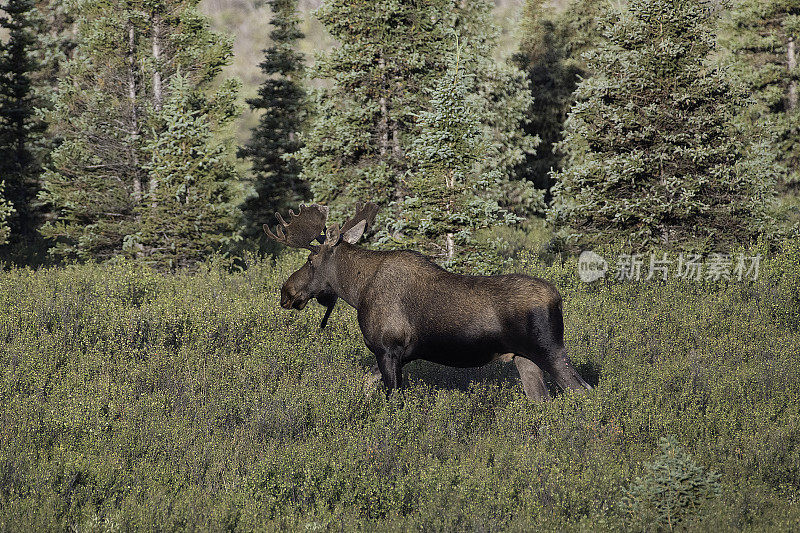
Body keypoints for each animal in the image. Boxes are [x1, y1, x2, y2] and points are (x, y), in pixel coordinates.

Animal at [266, 202, 592, 396]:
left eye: (310, 259)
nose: (286, 293)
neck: (357, 292)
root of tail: (558, 298)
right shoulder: (394, 355)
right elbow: (364, 385)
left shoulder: (389, 350)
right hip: (524, 358)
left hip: (550, 351)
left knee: (583, 390)